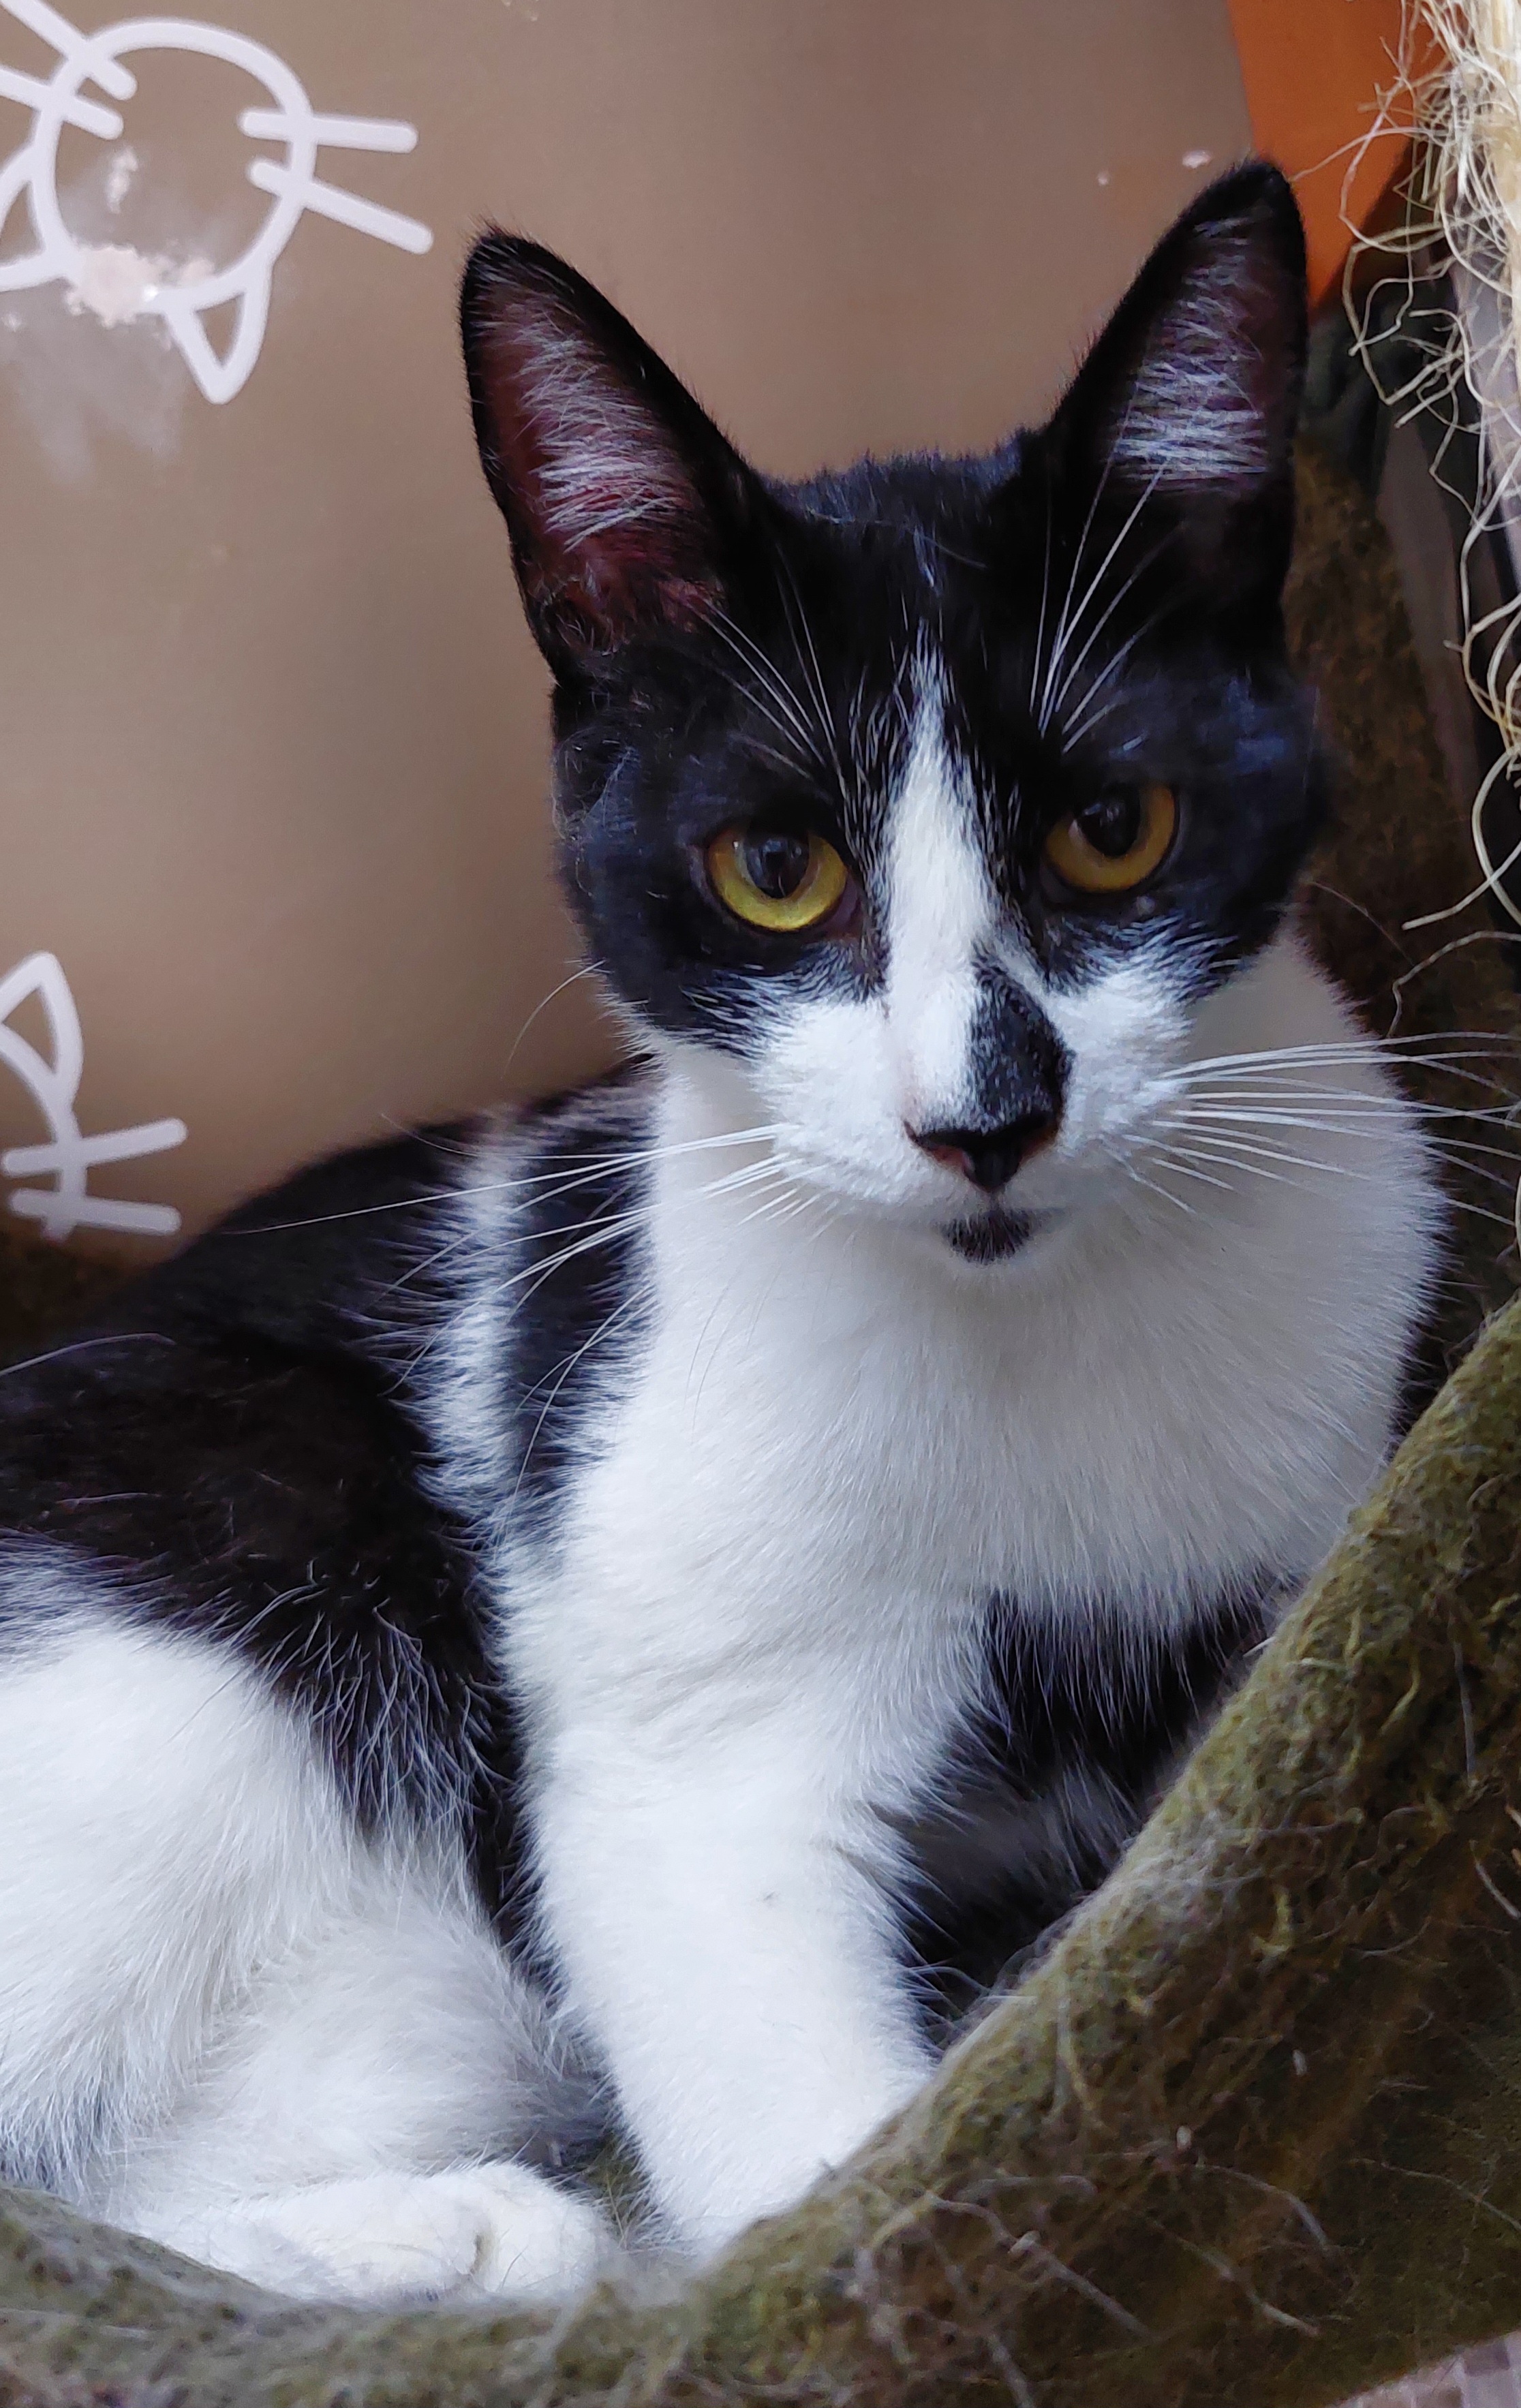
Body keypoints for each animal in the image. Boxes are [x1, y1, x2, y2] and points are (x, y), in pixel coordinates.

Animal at [0, 160, 1434, 2302]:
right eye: (776, 868)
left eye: (1112, 828)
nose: (982, 1115)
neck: (1028, 1344)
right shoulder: (681, 1770)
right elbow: (815, 2172)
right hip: (220, 1572)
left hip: (414, 2001)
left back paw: (451, 2231)